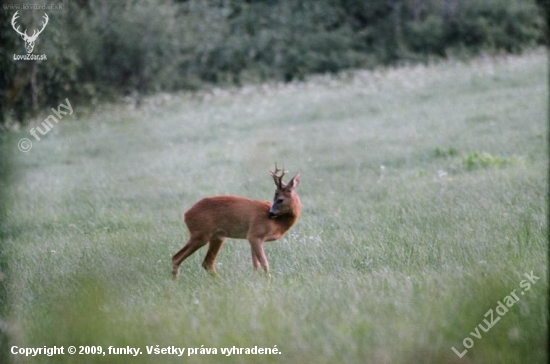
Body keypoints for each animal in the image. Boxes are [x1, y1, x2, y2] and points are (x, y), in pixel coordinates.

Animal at [172, 165, 302, 278]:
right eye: (275, 198)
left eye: (280, 199)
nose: (270, 213)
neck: (278, 224)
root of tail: (186, 214)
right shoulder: (255, 234)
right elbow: (264, 263)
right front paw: (269, 281)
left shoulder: (255, 238)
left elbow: (255, 264)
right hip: (200, 234)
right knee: (176, 257)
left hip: (217, 237)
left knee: (207, 263)